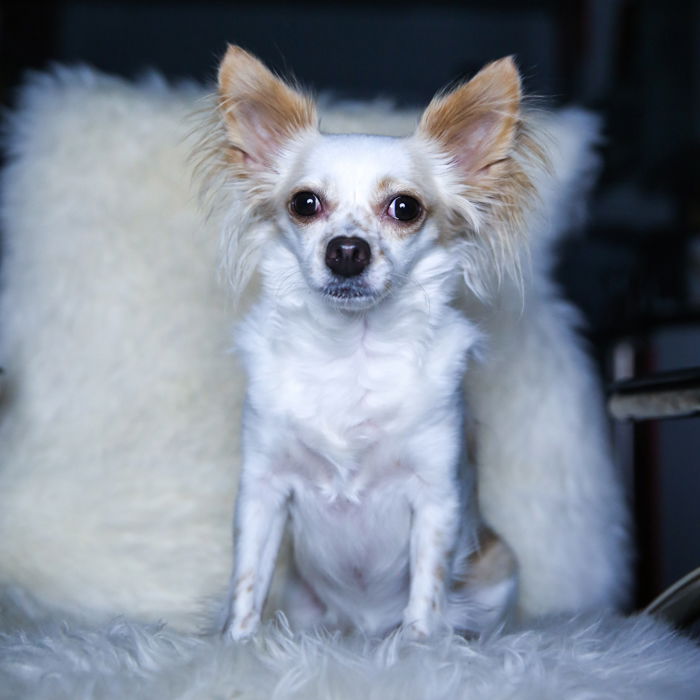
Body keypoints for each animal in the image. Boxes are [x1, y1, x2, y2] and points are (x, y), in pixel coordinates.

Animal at [209, 46, 548, 644]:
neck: (352, 351)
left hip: (496, 569)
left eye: (405, 208)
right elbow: (246, 582)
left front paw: (416, 650)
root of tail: (362, 630)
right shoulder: (262, 492)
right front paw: (236, 646)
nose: (347, 249)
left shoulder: (436, 498)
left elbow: (426, 592)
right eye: (304, 203)